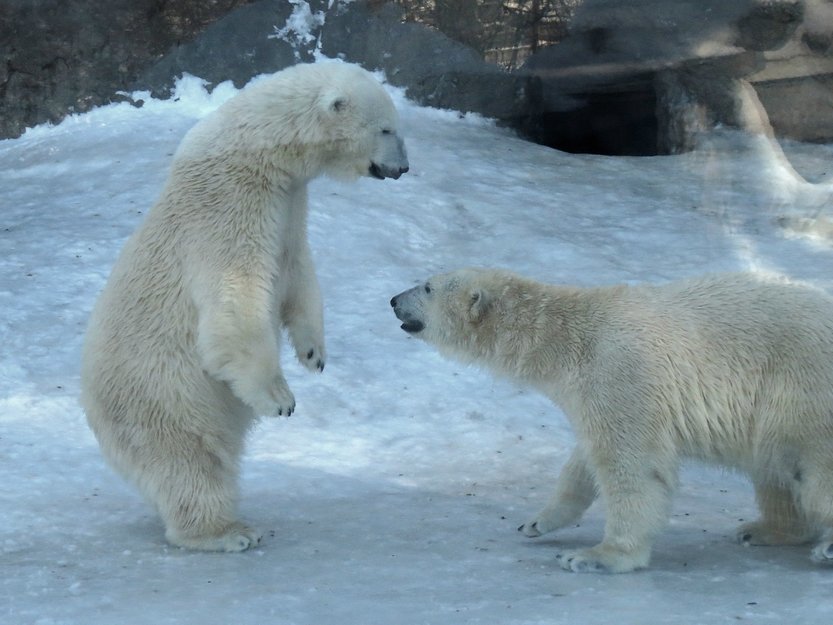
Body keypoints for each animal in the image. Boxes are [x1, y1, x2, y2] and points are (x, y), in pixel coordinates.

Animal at [83, 62, 408, 552]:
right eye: (385, 128)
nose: (403, 168)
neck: (261, 147)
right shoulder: (230, 204)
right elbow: (238, 296)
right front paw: (279, 398)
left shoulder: (290, 202)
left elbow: (296, 269)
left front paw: (313, 352)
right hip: (161, 396)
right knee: (190, 460)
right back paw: (226, 532)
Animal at [390, 266, 832, 572]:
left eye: (427, 286)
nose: (393, 299)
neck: (567, 336)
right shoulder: (591, 392)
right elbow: (584, 459)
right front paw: (536, 522)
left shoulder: (620, 371)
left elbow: (631, 465)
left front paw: (596, 556)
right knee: (776, 470)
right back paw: (764, 529)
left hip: (803, 388)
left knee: (813, 471)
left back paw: (822, 547)